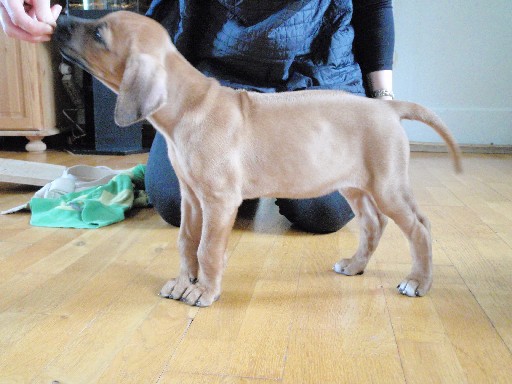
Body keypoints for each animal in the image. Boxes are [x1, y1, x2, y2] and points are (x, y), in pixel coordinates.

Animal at [54, 10, 462, 308]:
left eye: (99, 34)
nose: (60, 18)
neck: (189, 106)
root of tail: (387, 109)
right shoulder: (191, 197)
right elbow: (186, 241)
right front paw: (184, 281)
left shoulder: (219, 200)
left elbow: (208, 248)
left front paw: (204, 291)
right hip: (354, 185)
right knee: (373, 224)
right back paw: (355, 265)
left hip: (387, 185)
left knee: (420, 228)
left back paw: (418, 282)